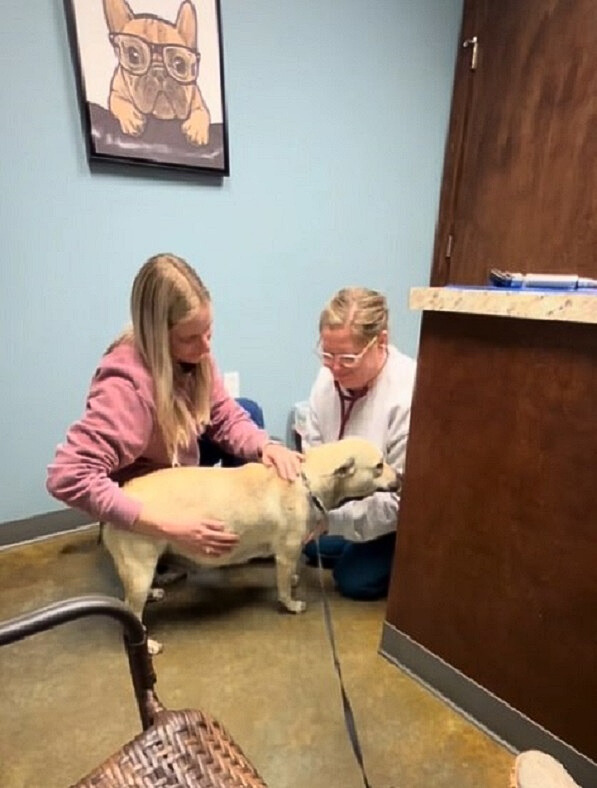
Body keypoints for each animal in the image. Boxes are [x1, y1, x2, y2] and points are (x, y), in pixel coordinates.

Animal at [102, 438, 400, 652]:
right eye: (379, 466)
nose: (400, 478)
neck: (307, 481)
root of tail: (120, 496)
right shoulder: (286, 553)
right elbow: (283, 589)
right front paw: (290, 604)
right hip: (140, 569)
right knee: (132, 611)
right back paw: (146, 642)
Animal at [103, 0, 211, 145]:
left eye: (179, 65)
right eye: (133, 55)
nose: (160, 73)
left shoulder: (198, 101)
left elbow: (202, 112)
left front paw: (197, 130)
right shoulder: (116, 92)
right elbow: (119, 102)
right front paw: (132, 118)